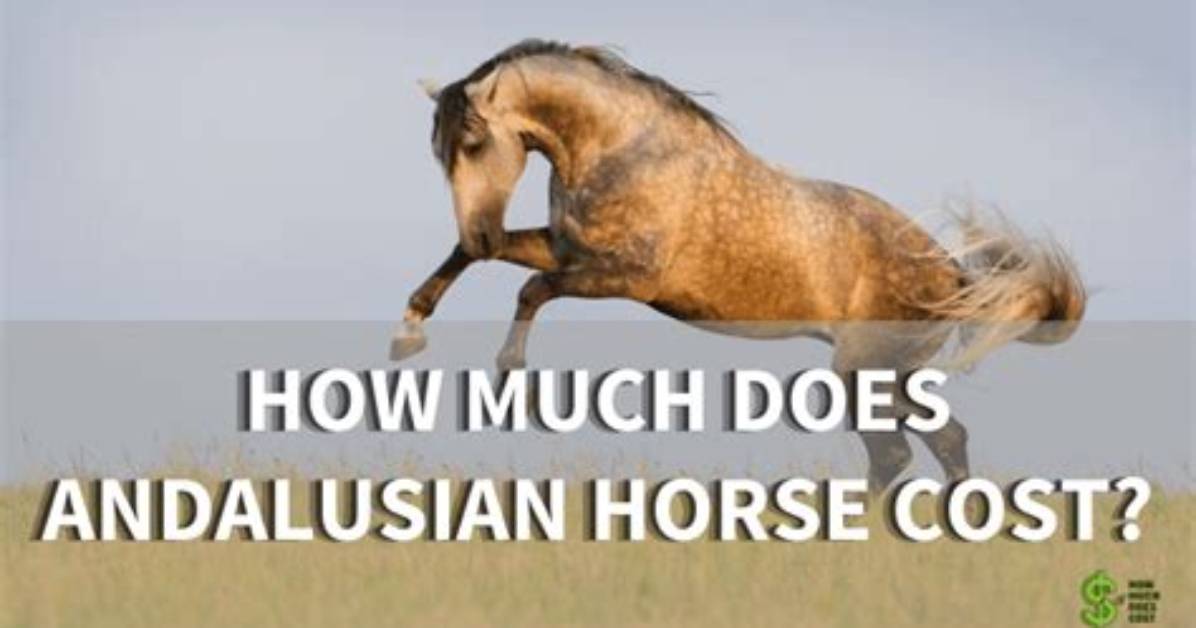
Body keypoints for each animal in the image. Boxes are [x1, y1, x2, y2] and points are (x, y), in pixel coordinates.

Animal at [393, 40, 1085, 493]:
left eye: (474, 140)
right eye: (439, 151)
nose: (481, 228)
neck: (623, 150)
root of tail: (952, 277)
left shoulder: (625, 275)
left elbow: (532, 290)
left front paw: (514, 377)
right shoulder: (570, 250)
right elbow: (474, 261)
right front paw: (408, 333)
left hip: (865, 373)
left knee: (896, 453)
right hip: (888, 376)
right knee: (940, 441)